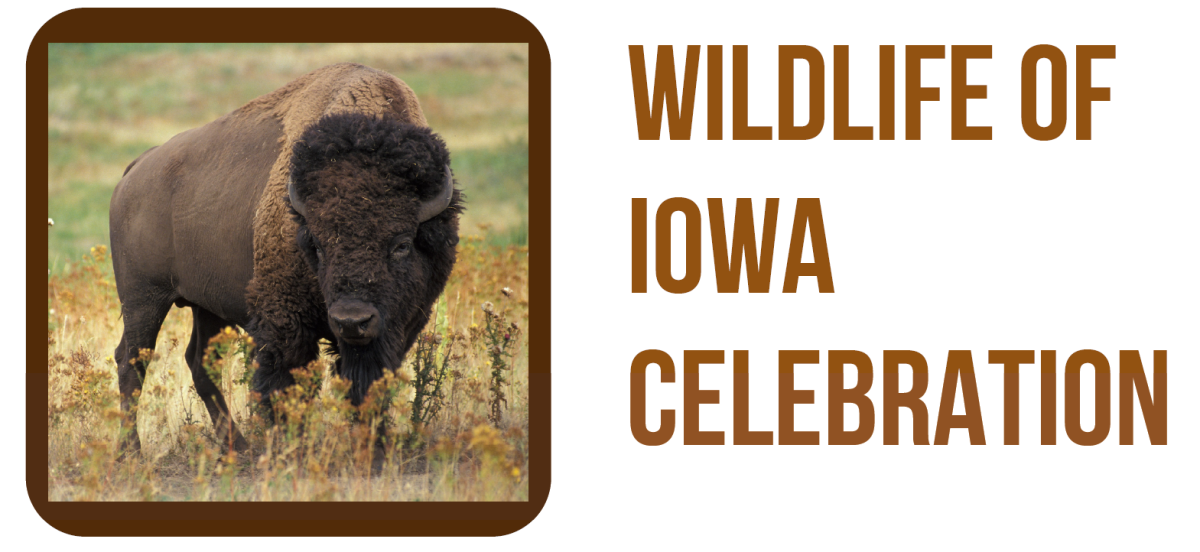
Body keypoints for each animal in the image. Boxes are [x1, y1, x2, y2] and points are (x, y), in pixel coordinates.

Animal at [109, 63, 463, 453]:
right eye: (317, 245)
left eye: (401, 244)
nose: (351, 320)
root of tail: (136, 169)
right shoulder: (285, 321)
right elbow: (285, 385)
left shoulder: (399, 326)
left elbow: (369, 384)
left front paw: (373, 446)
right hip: (144, 299)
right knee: (132, 361)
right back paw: (132, 452)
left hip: (206, 306)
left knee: (199, 362)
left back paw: (237, 447)